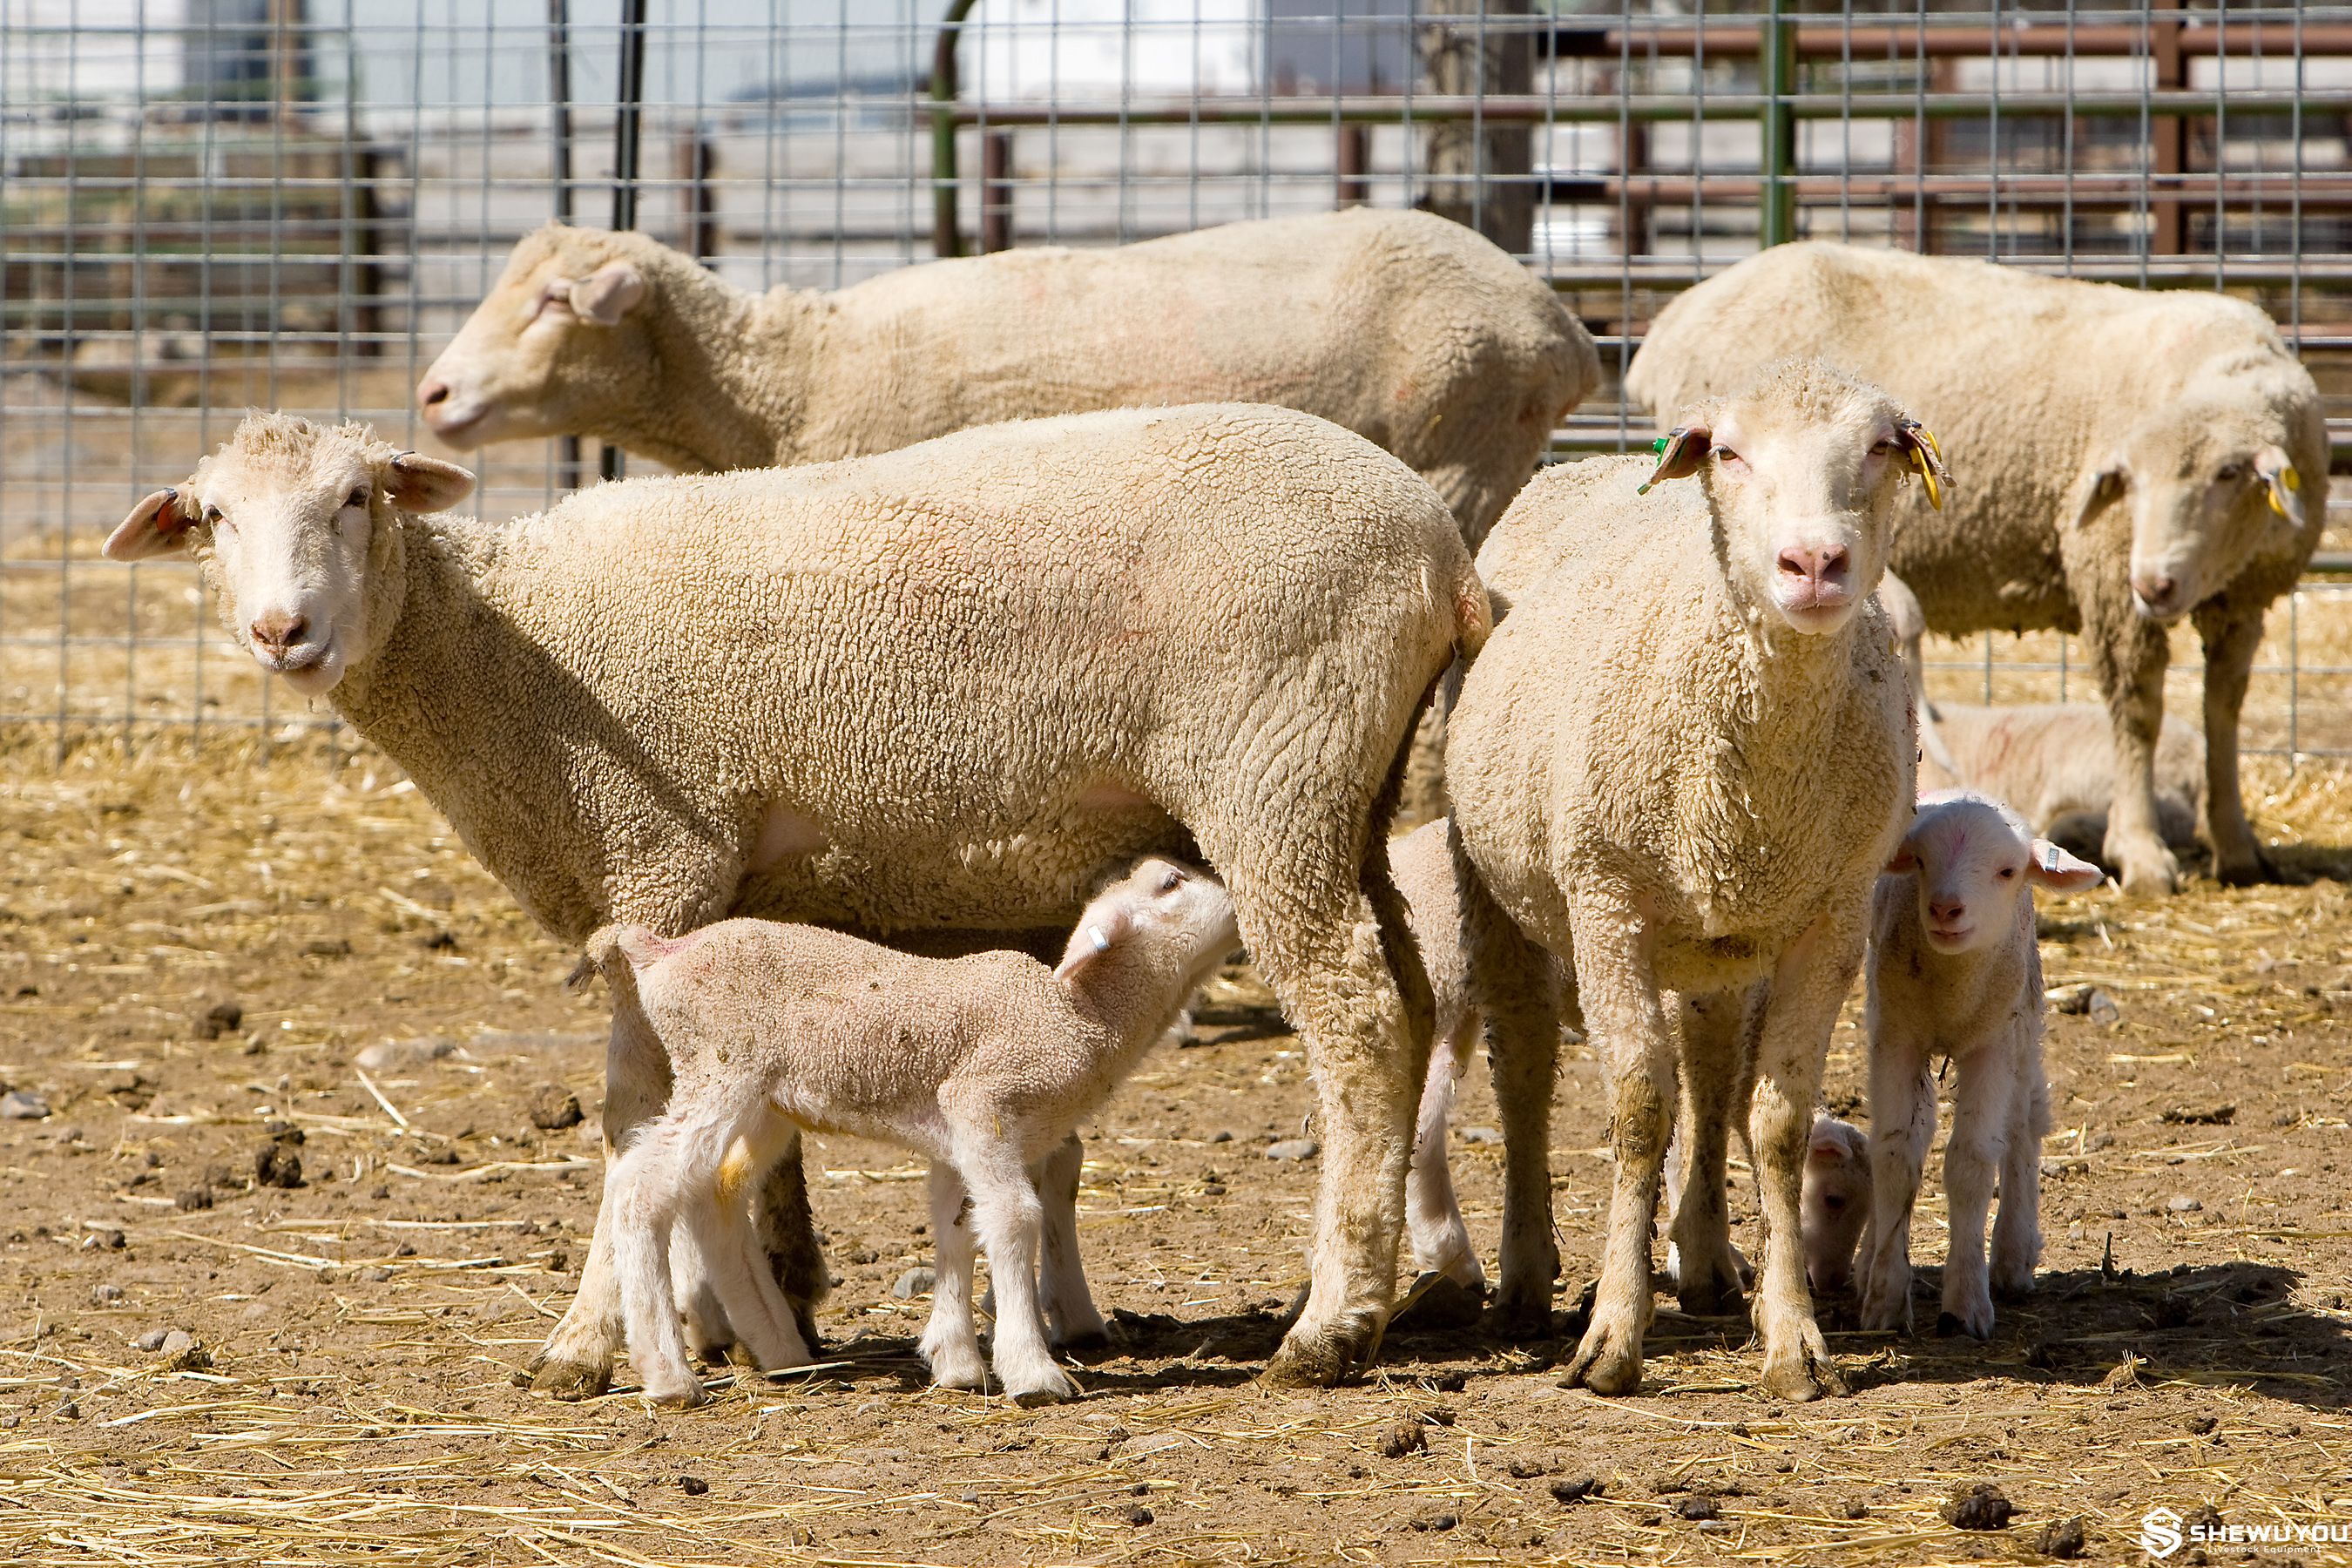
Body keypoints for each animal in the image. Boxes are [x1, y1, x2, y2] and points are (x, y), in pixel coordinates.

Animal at [577, 856, 1238, 1407]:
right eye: (1171, 882)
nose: (1238, 900)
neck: (1079, 1016)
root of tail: (662, 950)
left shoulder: (961, 1140)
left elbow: (957, 1228)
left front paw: (956, 1362)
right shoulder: (980, 1102)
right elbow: (1015, 1219)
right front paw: (1032, 1372)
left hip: (764, 1102)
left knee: (716, 1190)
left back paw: (781, 1352)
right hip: (719, 1067)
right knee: (641, 1186)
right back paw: (669, 1375)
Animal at [1444, 360, 1931, 1401]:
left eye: (1881, 447)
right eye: (1732, 452)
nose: (1814, 564)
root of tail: (1598, 459)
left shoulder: (1830, 919)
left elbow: (1774, 1121)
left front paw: (1793, 1340)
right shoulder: (1606, 904)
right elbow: (1638, 1115)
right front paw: (1611, 1339)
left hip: (1723, 938)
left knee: (1711, 1080)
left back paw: (1707, 1257)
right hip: (1505, 887)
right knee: (1526, 1072)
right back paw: (1525, 1275)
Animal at [1626, 240, 2328, 895]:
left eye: (2230, 473)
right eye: (2128, 480)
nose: (2154, 584)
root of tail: (1673, 320)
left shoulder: (2243, 597)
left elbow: (2223, 709)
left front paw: (2235, 842)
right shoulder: (2108, 578)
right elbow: (2138, 713)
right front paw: (2143, 851)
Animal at [1858, 791, 2102, 1337]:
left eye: (2007, 872)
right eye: (1919, 862)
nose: (1945, 908)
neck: (1951, 991)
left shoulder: (1992, 1045)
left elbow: (1971, 1162)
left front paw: (1966, 1302)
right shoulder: (1895, 1037)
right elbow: (1894, 1154)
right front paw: (1884, 1295)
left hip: (2023, 1022)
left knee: (2023, 1125)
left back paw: (2012, 1256)